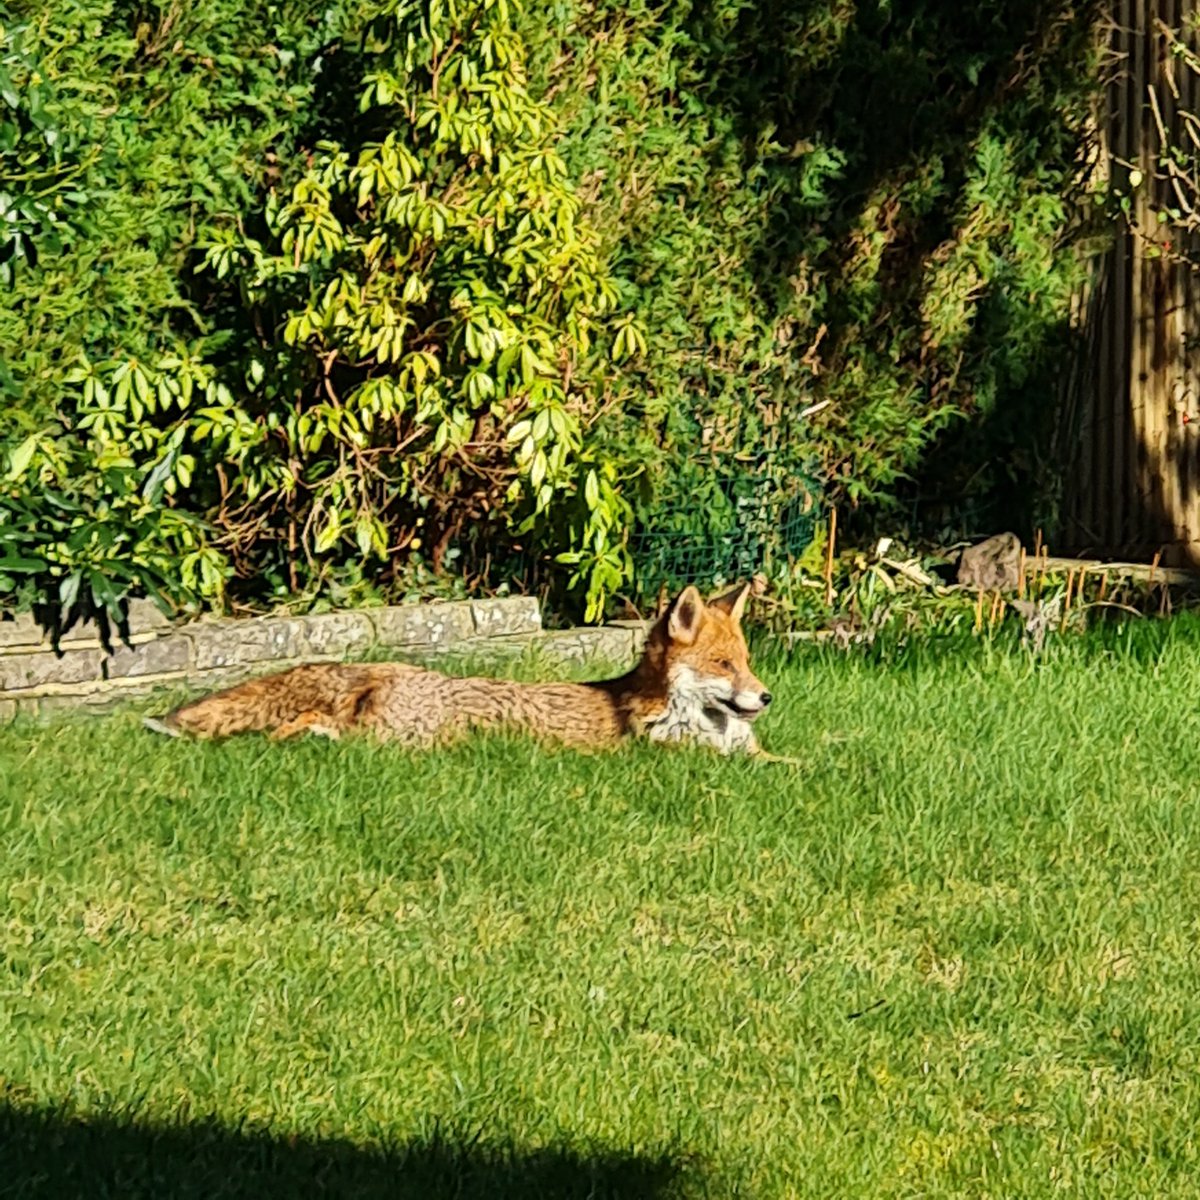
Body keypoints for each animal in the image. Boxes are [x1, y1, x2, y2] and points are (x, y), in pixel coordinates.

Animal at [144, 582, 784, 758]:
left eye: (748, 663)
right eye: (723, 665)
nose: (766, 697)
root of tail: (382, 668)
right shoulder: (695, 762)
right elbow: (790, 769)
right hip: (410, 740)